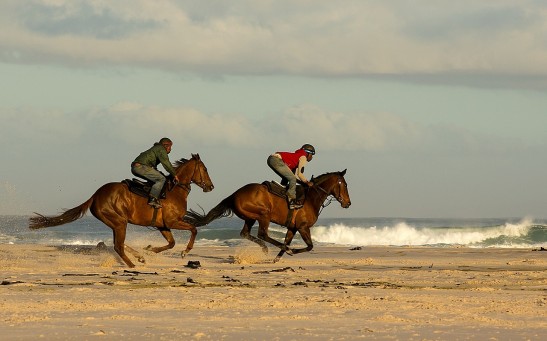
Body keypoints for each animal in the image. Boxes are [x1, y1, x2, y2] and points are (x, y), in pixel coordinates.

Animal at [28, 153, 214, 266]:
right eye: (205, 169)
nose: (211, 186)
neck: (174, 190)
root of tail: (96, 195)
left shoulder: (163, 225)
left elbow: (171, 243)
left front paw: (150, 250)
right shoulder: (173, 222)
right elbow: (193, 229)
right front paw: (185, 251)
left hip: (116, 223)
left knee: (118, 243)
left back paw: (139, 256)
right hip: (119, 222)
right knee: (118, 246)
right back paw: (132, 264)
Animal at [184, 169, 352, 262]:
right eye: (344, 185)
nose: (348, 203)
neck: (311, 198)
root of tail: (235, 194)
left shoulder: (293, 227)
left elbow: (288, 240)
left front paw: (278, 257)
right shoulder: (303, 227)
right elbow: (309, 246)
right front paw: (291, 251)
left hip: (250, 217)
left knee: (245, 233)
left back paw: (266, 248)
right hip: (263, 214)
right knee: (263, 233)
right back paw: (270, 248)